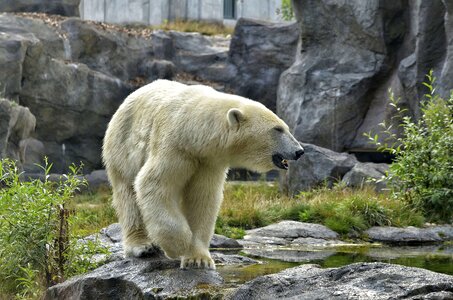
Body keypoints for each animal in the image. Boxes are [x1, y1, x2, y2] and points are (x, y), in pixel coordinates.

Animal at [100, 79, 302, 270]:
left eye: (285, 127)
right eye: (278, 129)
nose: (299, 151)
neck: (194, 130)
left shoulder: (208, 161)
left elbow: (202, 199)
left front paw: (198, 259)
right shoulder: (174, 147)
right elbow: (154, 184)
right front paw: (178, 245)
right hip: (122, 146)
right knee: (128, 195)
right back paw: (141, 246)